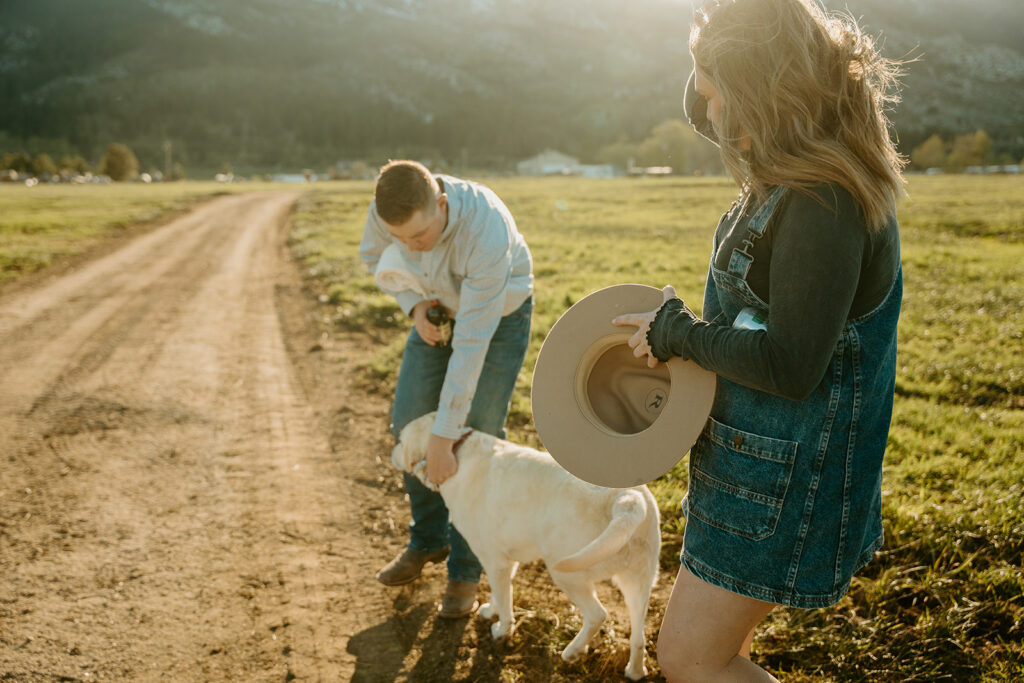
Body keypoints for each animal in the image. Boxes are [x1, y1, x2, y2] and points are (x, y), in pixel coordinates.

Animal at [387, 413, 659, 679]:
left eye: (401, 439)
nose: (392, 452)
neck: (456, 449)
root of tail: (627, 499)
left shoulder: (494, 561)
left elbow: (505, 604)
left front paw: (502, 630)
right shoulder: (504, 563)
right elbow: (499, 594)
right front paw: (490, 611)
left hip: (567, 574)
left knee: (598, 615)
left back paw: (573, 651)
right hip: (638, 585)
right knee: (638, 638)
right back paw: (635, 671)